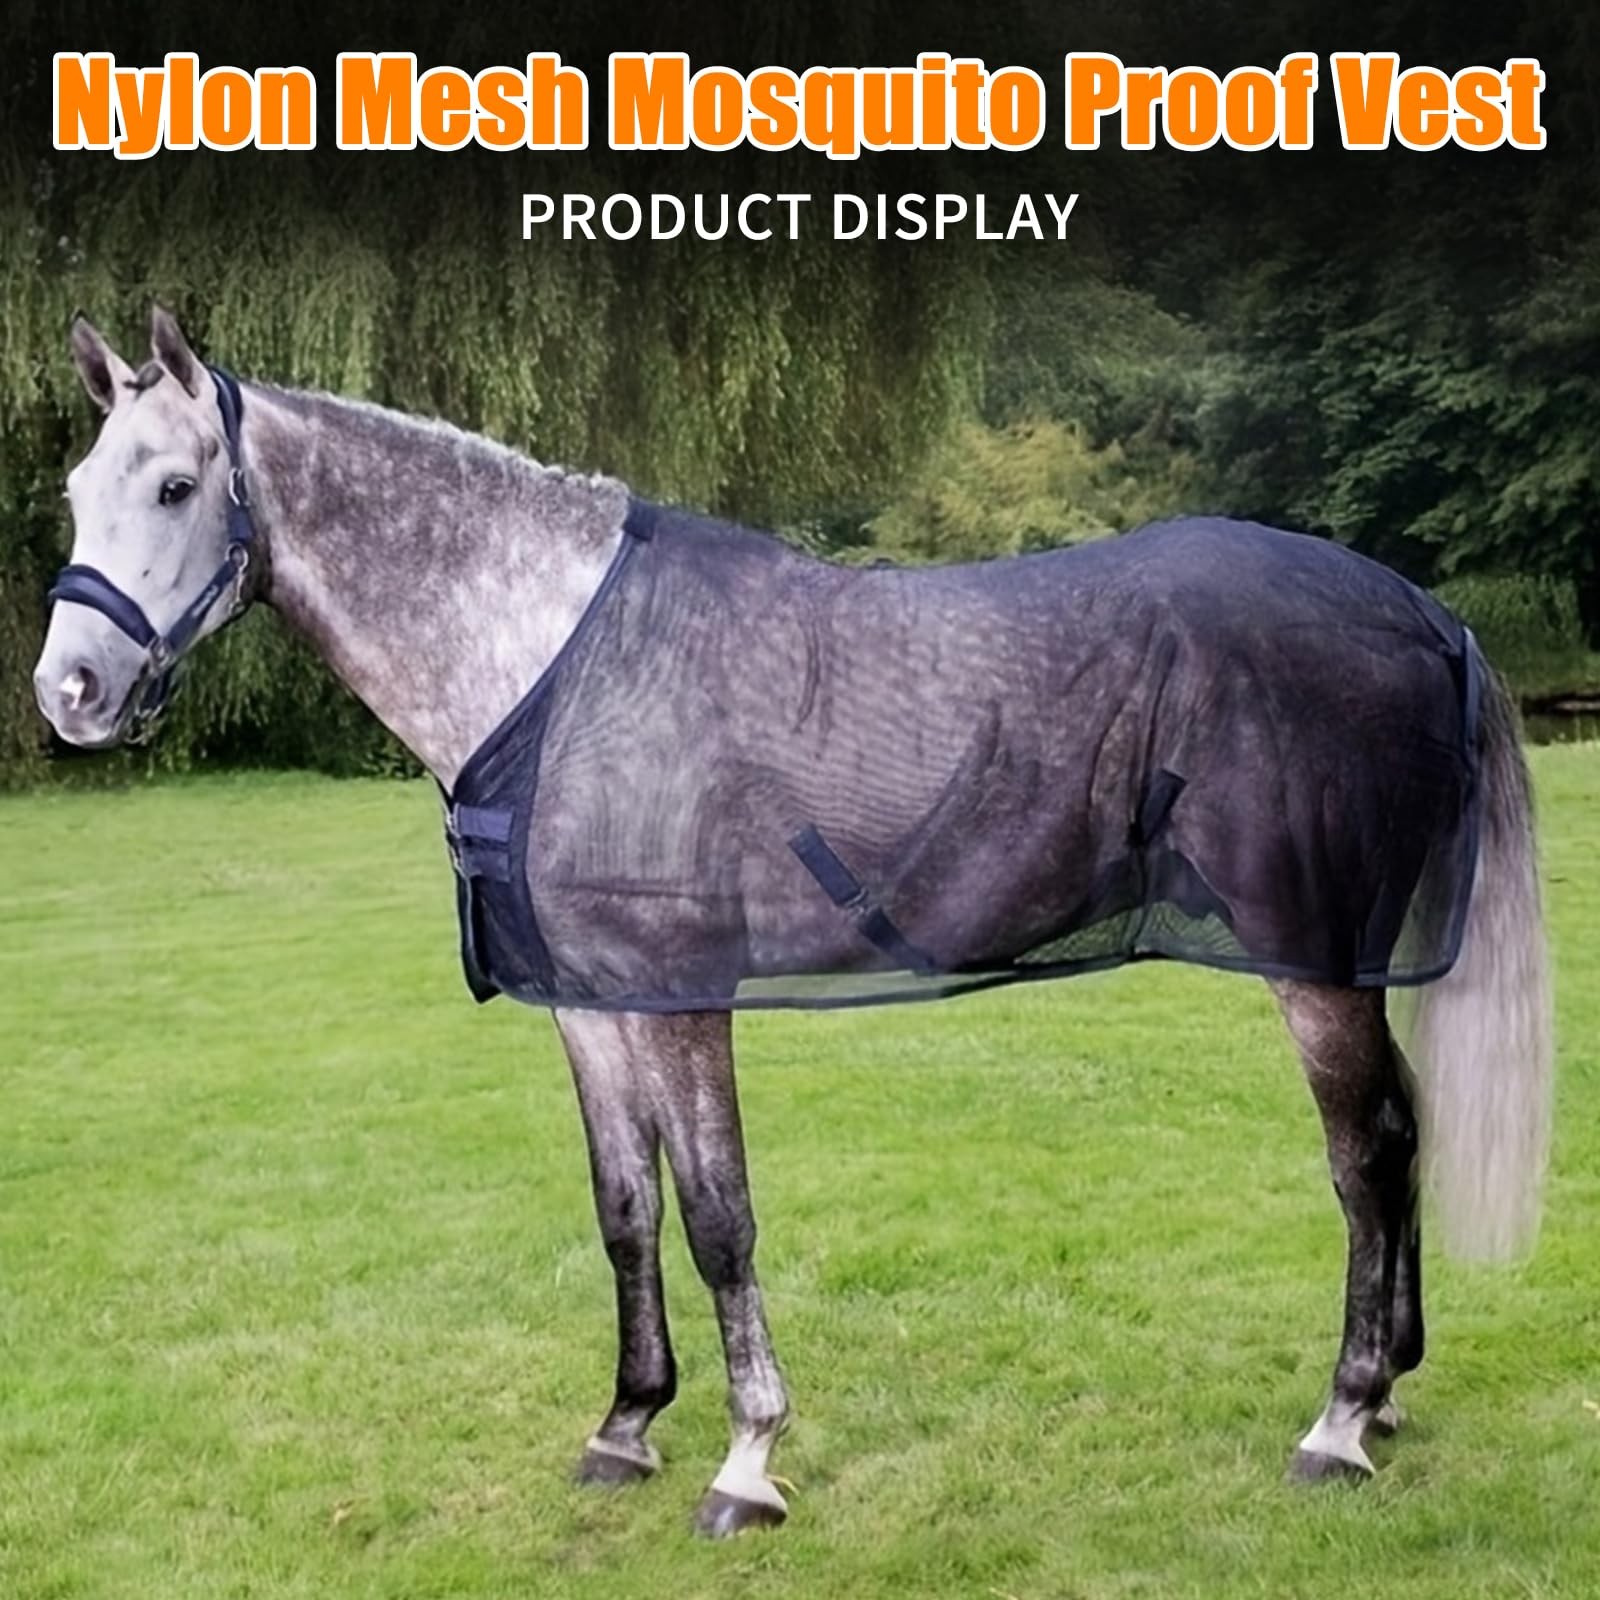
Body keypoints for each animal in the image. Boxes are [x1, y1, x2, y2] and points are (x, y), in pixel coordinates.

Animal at [33, 307, 1552, 1537]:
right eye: (74, 490)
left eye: (176, 485)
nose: (69, 693)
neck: (558, 663)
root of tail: (1424, 615)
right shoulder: (591, 1005)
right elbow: (626, 1210)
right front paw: (627, 1426)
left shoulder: (681, 995)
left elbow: (719, 1216)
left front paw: (747, 1460)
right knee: (1402, 1137)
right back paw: (1390, 1393)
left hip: (1313, 964)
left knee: (1367, 1156)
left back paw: (1340, 1420)